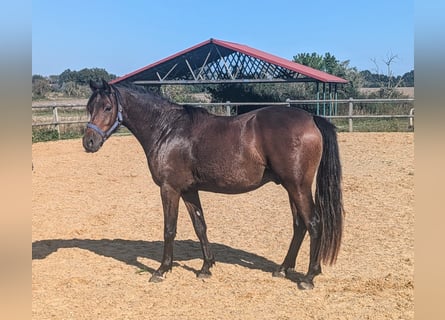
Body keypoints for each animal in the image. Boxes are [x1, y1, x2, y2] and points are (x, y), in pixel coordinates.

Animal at [82, 79, 344, 288]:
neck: (167, 129)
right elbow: (200, 226)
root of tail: (311, 118)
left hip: (298, 187)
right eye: (89, 107)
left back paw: (308, 277)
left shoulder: (169, 189)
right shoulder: (189, 190)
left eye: (107, 107)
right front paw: (206, 267)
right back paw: (282, 268)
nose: (89, 142)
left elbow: (169, 229)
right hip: (290, 187)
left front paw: (162, 269)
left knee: (313, 224)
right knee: (299, 225)